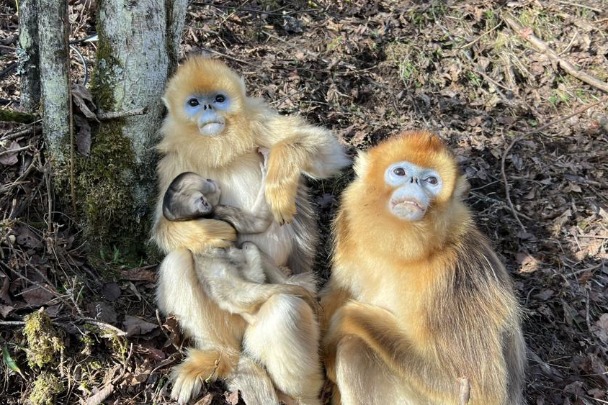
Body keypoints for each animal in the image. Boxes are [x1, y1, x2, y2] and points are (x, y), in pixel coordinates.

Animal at [162, 167, 318, 318]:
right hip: (245, 273)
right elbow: (258, 223)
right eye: (207, 183)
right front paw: (266, 172)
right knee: (252, 253)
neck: (199, 218)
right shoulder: (218, 210)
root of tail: (231, 297)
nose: (211, 180)